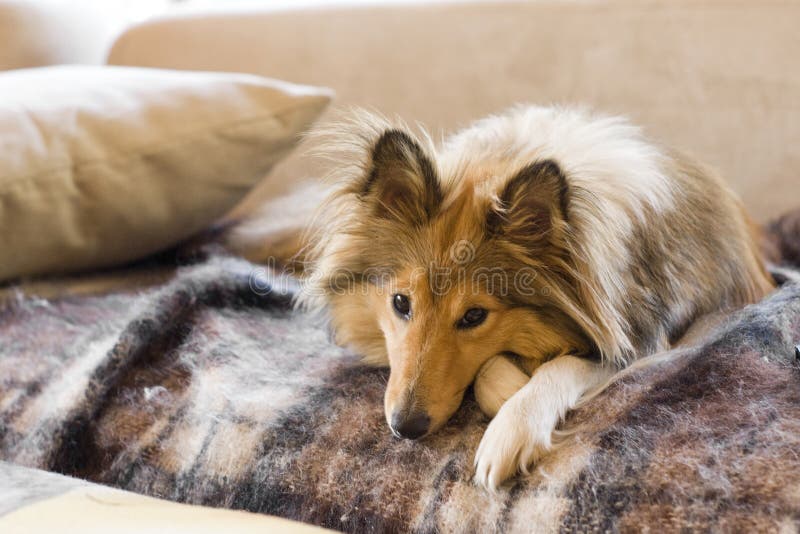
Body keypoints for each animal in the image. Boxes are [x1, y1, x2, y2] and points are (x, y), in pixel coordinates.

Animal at [264, 107, 776, 492]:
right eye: (401, 303)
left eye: (475, 315)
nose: (404, 428)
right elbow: (490, 370)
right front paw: (507, 387)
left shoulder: (635, 338)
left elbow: (557, 369)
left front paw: (509, 431)